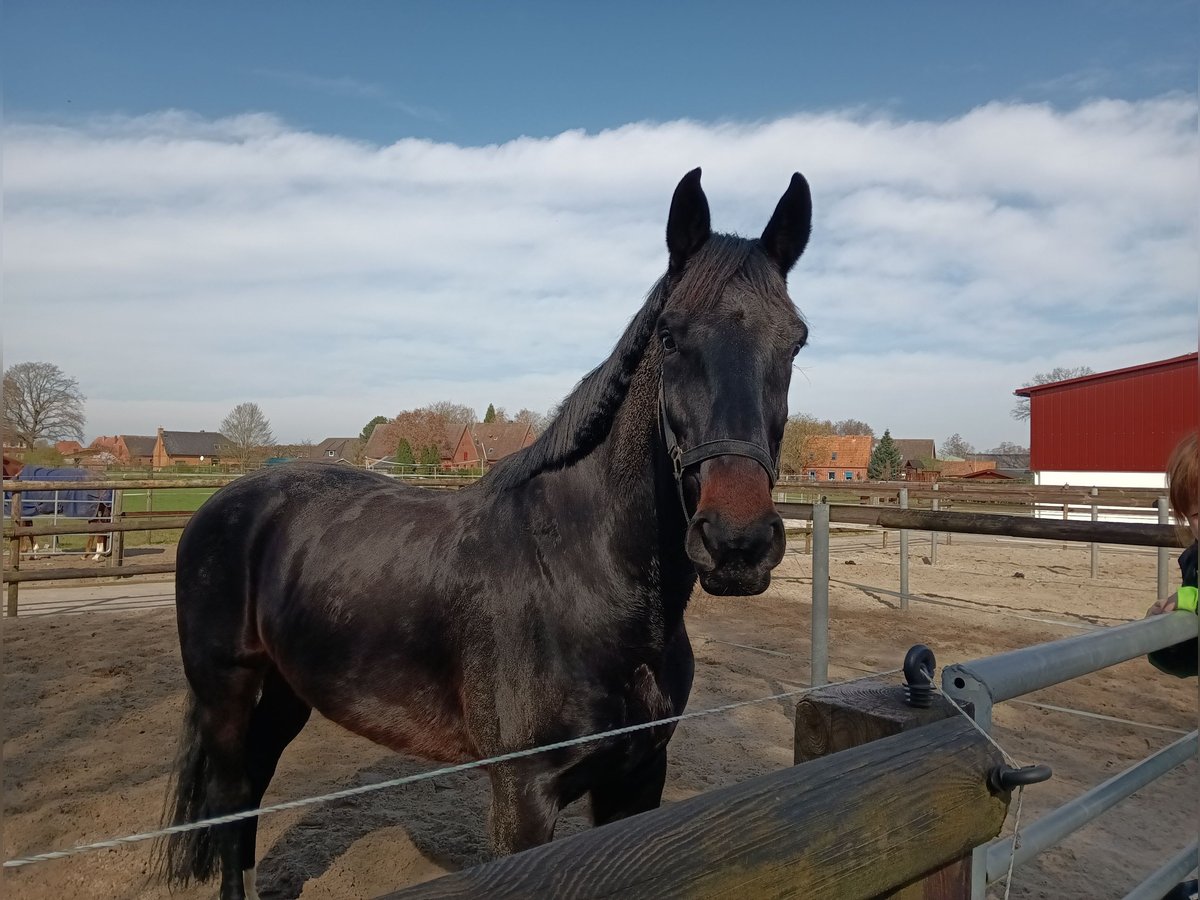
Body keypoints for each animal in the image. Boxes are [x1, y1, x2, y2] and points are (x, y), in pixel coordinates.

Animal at [159, 168, 811, 897]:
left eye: (795, 342)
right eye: (669, 337)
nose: (737, 543)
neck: (585, 583)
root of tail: (226, 504)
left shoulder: (639, 777)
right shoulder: (523, 796)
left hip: (286, 693)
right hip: (226, 694)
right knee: (229, 802)